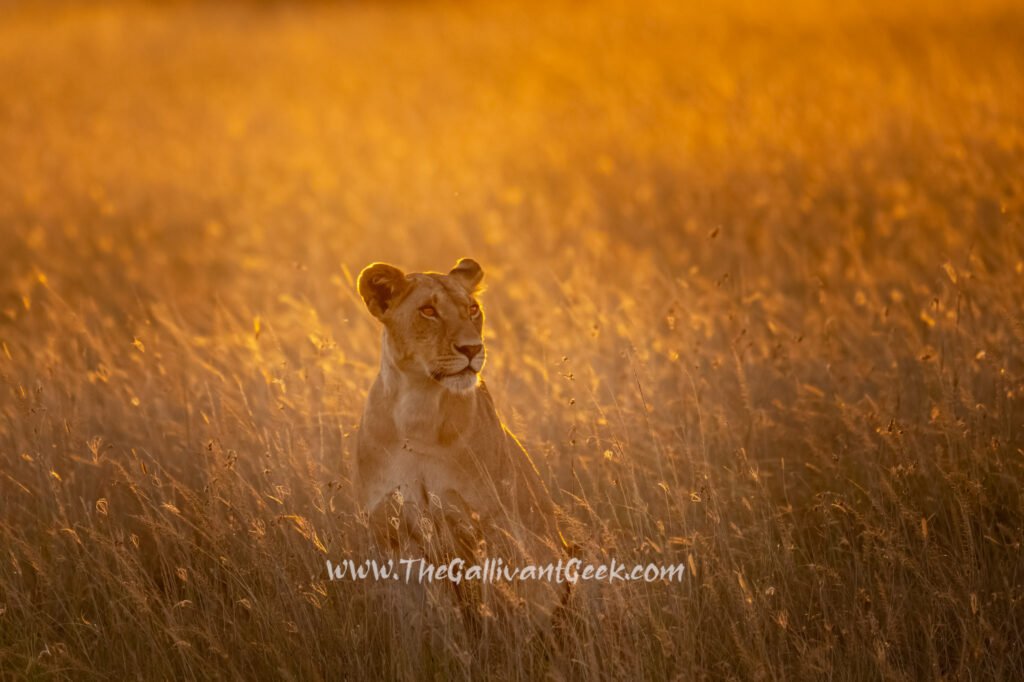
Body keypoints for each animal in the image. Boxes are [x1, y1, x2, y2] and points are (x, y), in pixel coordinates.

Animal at [353, 258, 567, 626]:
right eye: (428, 311)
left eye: (472, 309)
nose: (472, 348)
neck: (417, 410)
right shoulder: (387, 534)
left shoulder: (487, 522)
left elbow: (495, 605)